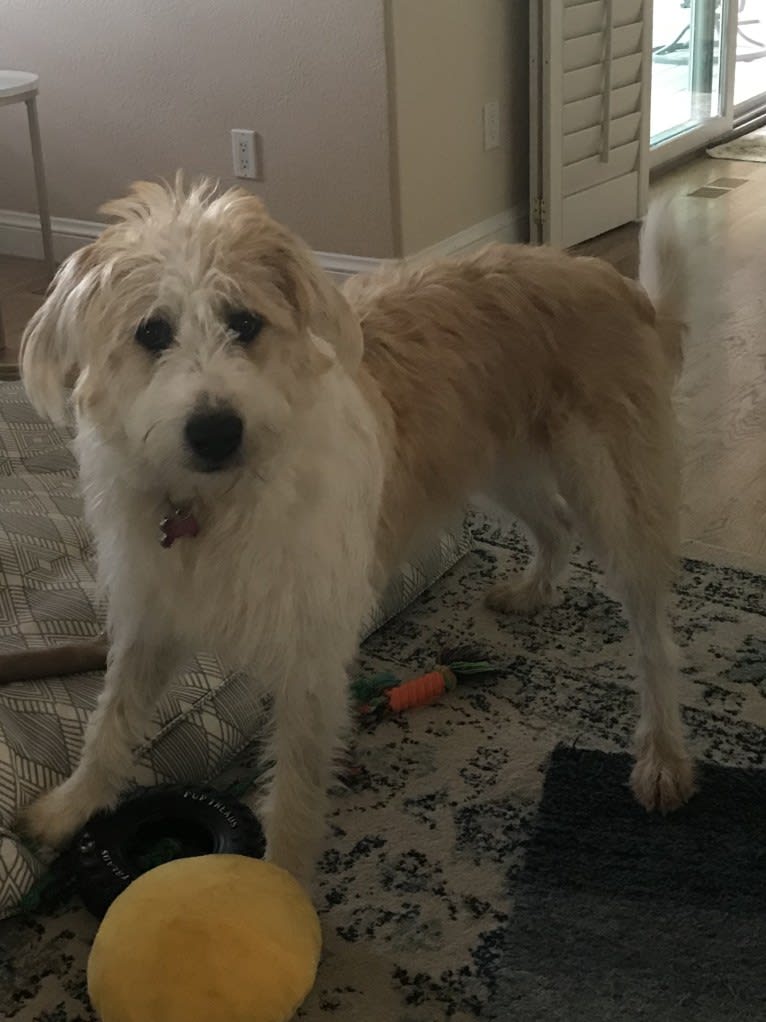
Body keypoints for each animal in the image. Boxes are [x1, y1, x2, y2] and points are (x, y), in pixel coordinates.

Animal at [19, 179, 694, 883]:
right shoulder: (151, 617)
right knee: (555, 523)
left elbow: (294, 784)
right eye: (152, 332)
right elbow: (111, 720)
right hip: (495, 464)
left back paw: (663, 756)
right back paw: (533, 592)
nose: (216, 432)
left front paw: (280, 887)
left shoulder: (311, 652)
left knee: (655, 641)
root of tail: (608, 279)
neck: (216, 503)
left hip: (614, 499)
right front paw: (69, 809)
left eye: (244, 323)